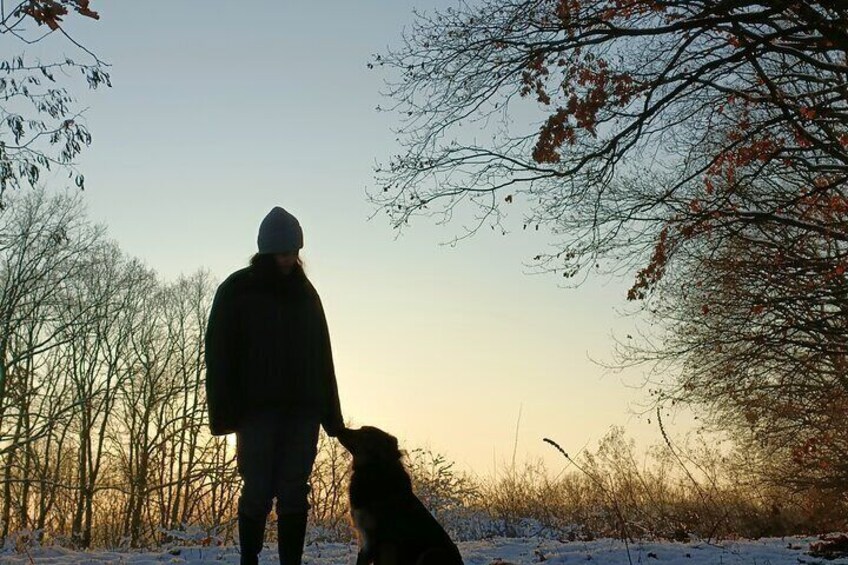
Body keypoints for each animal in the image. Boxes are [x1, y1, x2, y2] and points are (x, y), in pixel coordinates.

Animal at [336, 428, 464, 564]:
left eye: (364, 433)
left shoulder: (375, 540)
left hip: (432, 552)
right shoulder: (365, 539)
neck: (374, 470)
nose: (341, 429)